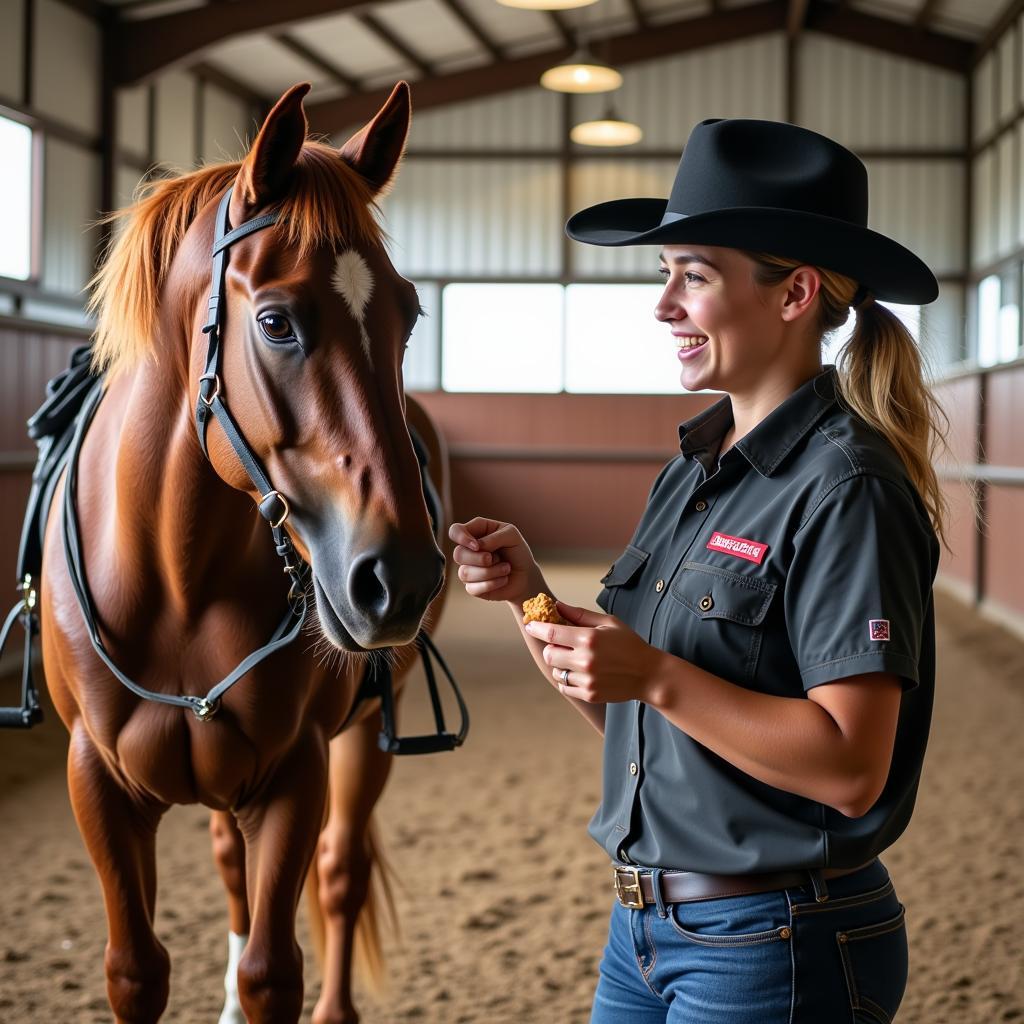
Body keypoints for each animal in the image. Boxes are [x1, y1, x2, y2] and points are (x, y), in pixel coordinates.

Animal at [40, 81, 448, 1024]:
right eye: (275, 322)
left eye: (409, 314)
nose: (401, 580)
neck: (175, 574)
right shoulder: (96, 781)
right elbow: (135, 971)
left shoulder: (295, 773)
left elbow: (273, 972)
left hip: (366, 733)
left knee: (340, 871)